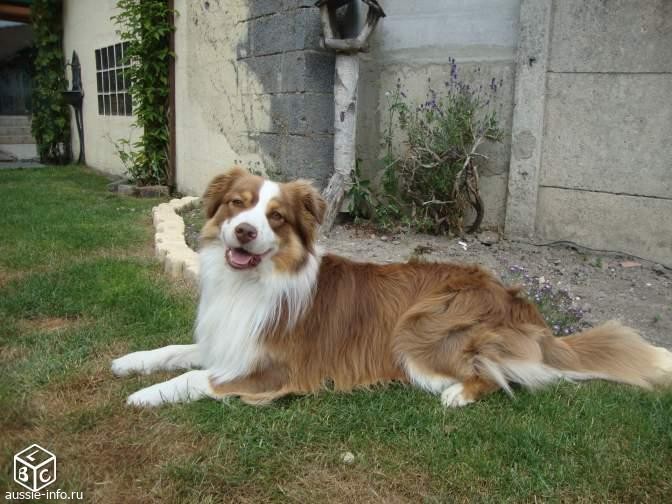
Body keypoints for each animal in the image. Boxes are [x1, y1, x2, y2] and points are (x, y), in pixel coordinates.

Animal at [112, 167, 672, 407]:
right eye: (237, 204)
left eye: (275, 217)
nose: (245, 232)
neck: (250, 283)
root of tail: (520, 304)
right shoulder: (226, 345)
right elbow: (173, 352)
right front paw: (130, 363)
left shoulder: (272, 372)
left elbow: (195, 379)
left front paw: (144, 395)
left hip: (416, 331)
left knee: (503, 375)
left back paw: (458, 396)